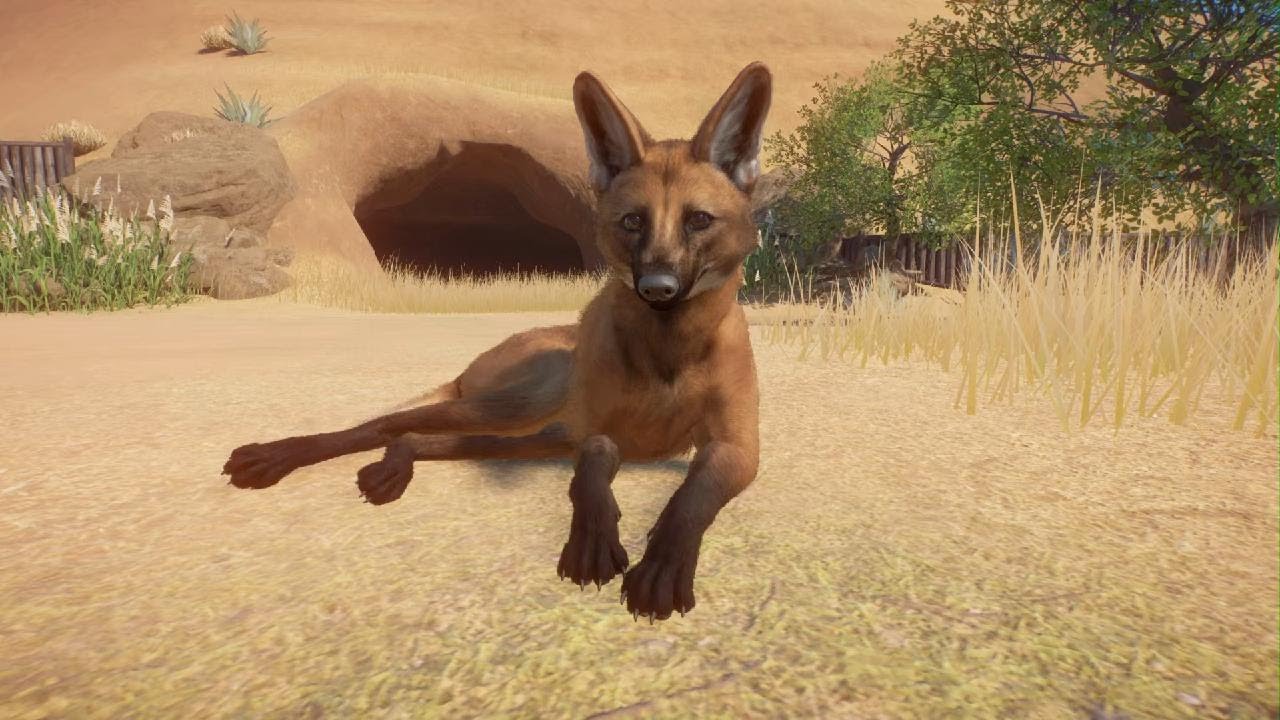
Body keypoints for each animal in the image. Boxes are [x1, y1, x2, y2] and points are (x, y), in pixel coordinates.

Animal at [223, 61, 772, 621]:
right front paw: (593, 542)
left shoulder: (737, 448)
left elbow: (690, 499)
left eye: (698, 220)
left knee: (416, 435)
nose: (657, 288)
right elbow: (593, 473)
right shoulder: (592, 433)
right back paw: (273, 457)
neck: (668, 352)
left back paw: (393, 467)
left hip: (531, 432)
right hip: (520, 410)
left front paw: (661, 570)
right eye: (632, 221)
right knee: (384, 423)